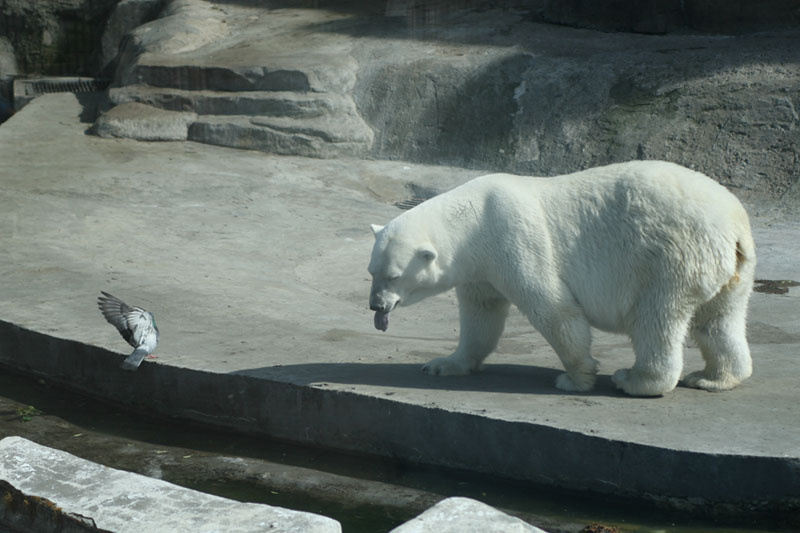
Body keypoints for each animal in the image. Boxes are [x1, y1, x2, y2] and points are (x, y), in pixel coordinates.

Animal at [367, 161, 756, 397]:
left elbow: (553, 308)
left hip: (669, 258)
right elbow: (481, 315)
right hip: (732, 269)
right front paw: (442, 365)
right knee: (719, 319)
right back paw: (713, 378)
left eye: (392, 275)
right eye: (371, 271)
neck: (471, 220)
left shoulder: (512, 235)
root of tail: (733, 225)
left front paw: (575, 378)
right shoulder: (479, 266)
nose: (375, 306)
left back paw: (634, 380)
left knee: (655, 318)